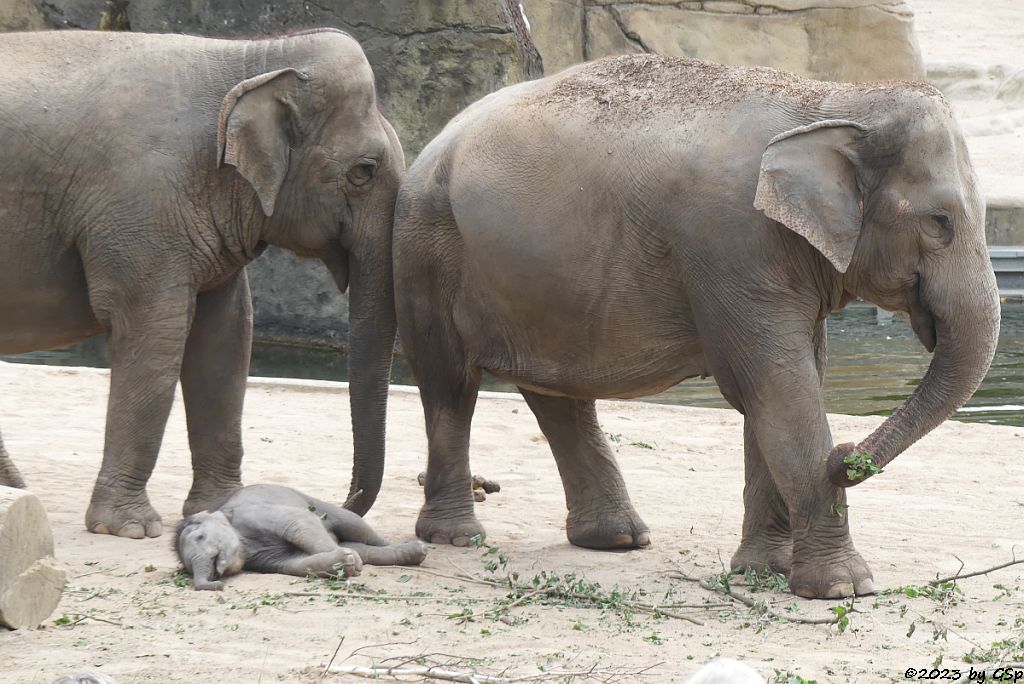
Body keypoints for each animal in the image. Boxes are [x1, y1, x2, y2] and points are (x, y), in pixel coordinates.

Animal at [0, 29, 403, 536]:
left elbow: (226, 337)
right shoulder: (143, 210)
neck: (249, 59)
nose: (335, 505)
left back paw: (15, 488)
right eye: (363, 171)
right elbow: (159, 333)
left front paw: (223, 508)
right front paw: (130, 528)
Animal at [176, 483, 428, 589]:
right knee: (364, 548)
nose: (217, 584)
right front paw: (346, 563)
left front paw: (351, 563)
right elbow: (297, 563)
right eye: (187, 566)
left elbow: (298, 524)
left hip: (316, 502)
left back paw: (420, 550)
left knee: (354, 525)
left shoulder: (253, 514)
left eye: (200, 537)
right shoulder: (262, 560)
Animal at [393, 54, 999, 597]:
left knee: (556, 395)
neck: (833, 99)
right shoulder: (733, 243)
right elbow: (780, 387)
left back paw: (616, 539)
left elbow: (782, 387)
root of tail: (434, 142)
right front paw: (844, 588)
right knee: (451, 384)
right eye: (940, 222)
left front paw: (764, 571)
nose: (847, 456)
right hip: (428, 250)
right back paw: (458, 537)